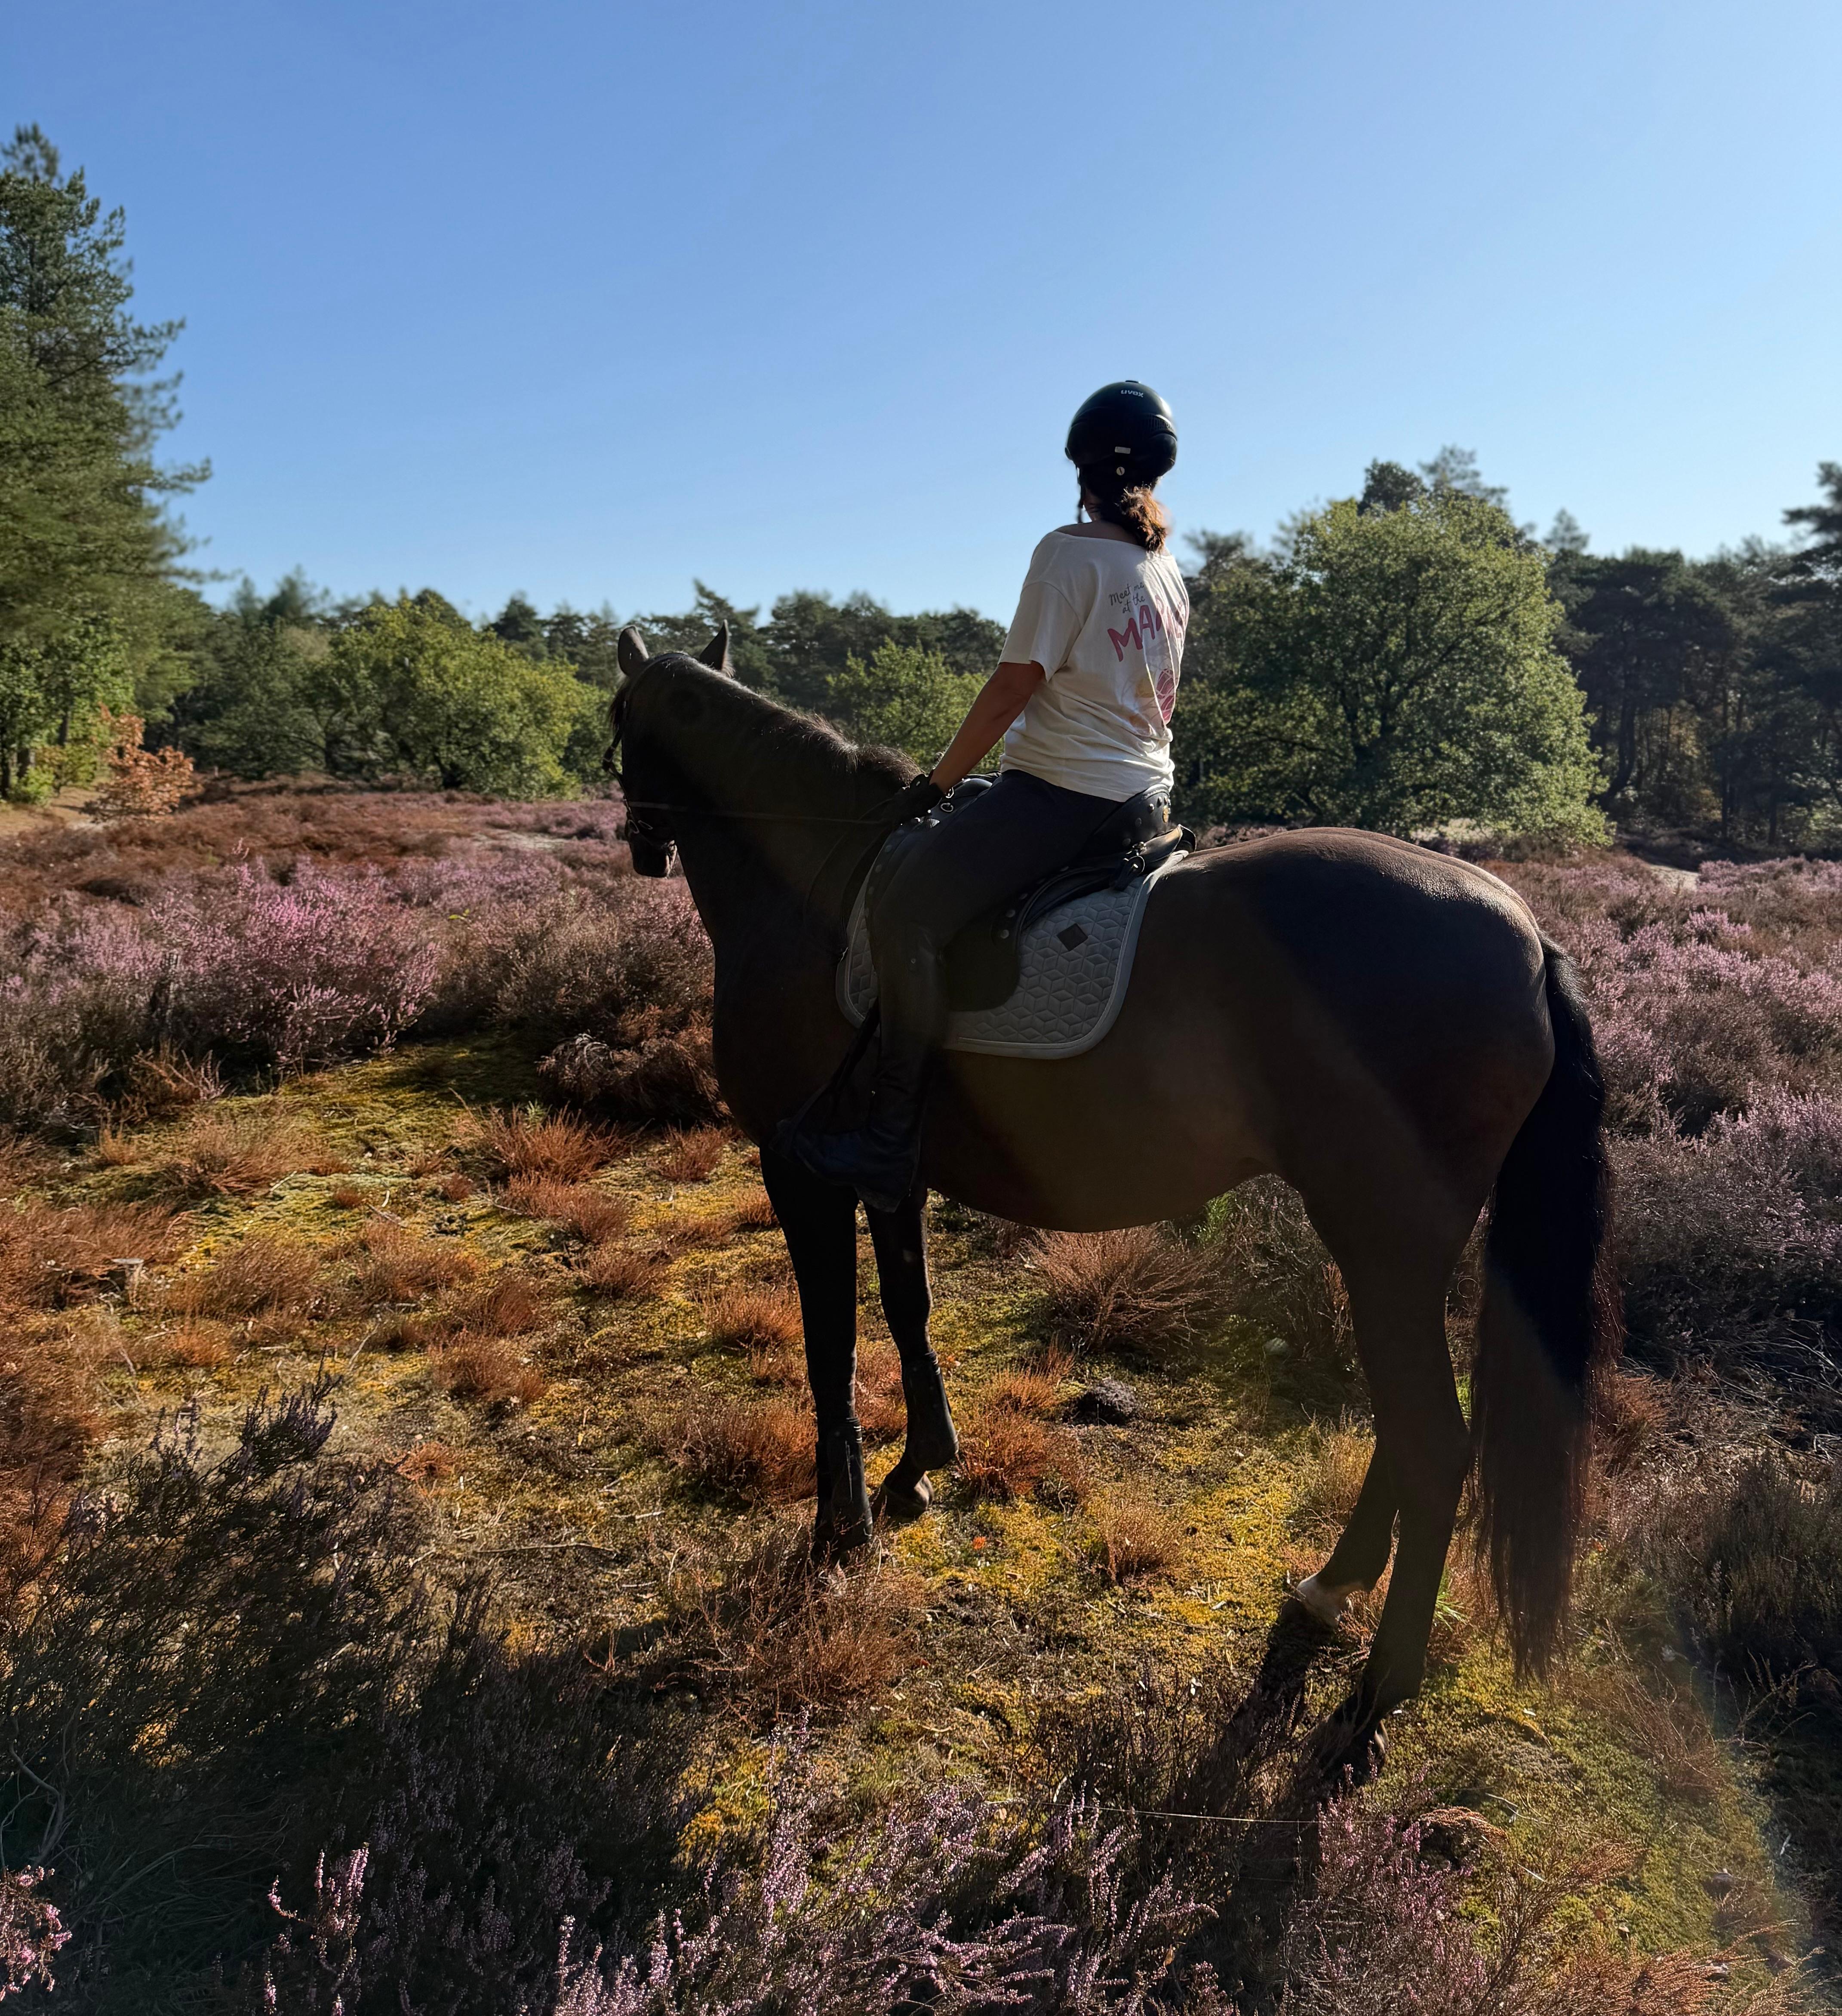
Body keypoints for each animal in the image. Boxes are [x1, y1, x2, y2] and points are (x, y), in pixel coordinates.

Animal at [605, 623, 1619, 1763]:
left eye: (619, 722)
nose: (638, 841)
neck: (811, 878)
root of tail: (1528, 937)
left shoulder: (796, 1172)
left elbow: (830, 1347)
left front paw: (837, 1528)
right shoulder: (888, 1171)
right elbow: (908, 1309)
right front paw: (918, 1468)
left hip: (1384, 1240)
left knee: (1433, 1445)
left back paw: (1367, 1703)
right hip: (1390, 1249)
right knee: (1404, 1438)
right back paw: (1327, 1592)